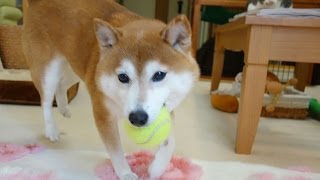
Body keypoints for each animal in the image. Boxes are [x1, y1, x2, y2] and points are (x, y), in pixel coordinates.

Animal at [21, 0, 198, 179]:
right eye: (123, 77)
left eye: (159, 75)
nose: (137, 118)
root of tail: (36, 2)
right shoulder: (103, 114)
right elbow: (116, 151)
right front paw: (126, 174)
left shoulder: (165, 108)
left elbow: (170, 142)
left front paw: (156, 168)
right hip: (48, 70)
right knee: (46, 100)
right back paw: (51, 130)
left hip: (76, 69)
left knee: (62, 85)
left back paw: (64, 108)